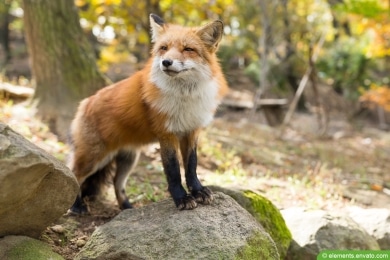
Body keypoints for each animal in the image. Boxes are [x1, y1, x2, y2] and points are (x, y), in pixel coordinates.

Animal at [67, 13, 229, 213]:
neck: (184, 97)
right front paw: (181, 198)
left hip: (129, 159)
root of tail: (84, 103)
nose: (166, 62)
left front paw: (198, 191)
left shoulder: (191, 130)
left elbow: (191, 166)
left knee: (117, 182)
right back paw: (76, 206)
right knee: (74, 174)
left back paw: (127, 207)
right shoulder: (166, 133)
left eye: (188, 49)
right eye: (164, 48)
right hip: (94, 156)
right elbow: (173, 170)